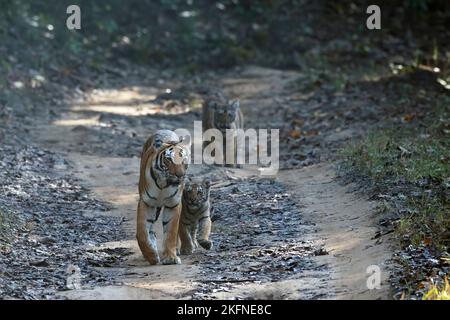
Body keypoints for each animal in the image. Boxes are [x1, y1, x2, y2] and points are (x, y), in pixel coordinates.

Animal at [135, 129, 188, 264]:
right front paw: (151, 256)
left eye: (183, 160)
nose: (180, 175)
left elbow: (171, 231)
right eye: (169, 160)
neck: (164, 183)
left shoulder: (173, 204)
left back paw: (176, 249)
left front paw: (170, 257)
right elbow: (142, 233)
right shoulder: (147, 203)